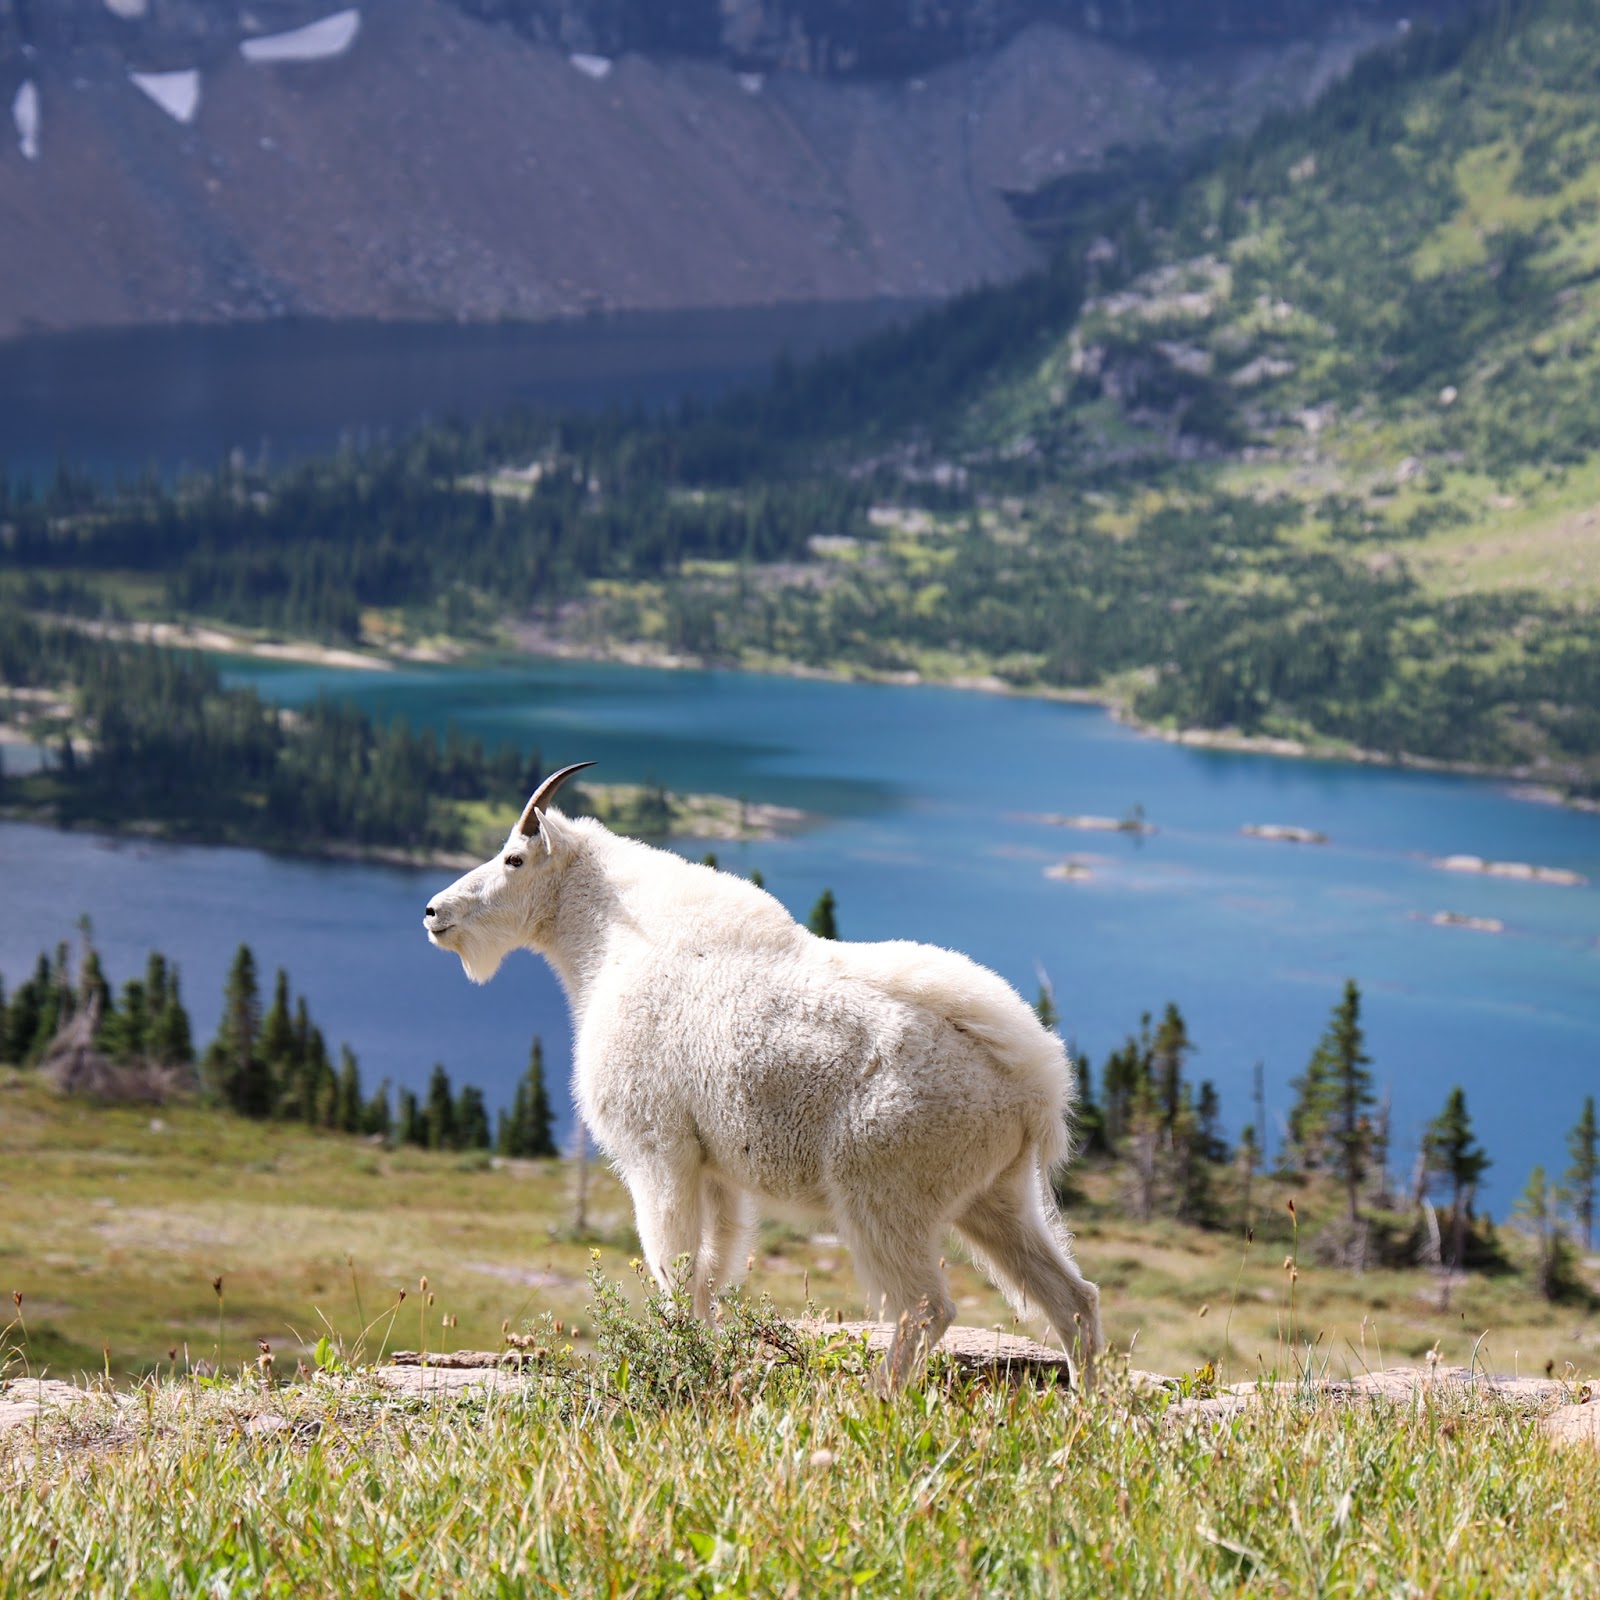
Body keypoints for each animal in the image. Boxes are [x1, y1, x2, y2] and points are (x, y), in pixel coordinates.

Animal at [423, 763, 1103, 1388]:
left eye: (513, 858)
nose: (434, 912)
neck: (611, 940)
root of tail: (1034, 1087)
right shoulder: (714, 1167)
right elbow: (710, 1271)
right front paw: (703, 1360)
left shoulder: (657, 1149)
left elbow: (673, 1268)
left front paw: (677, 1364)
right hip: (997, 1195)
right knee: (1073, 1297)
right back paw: (1086, 1408)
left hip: (886, 1193)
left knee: (925, 1307)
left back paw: (877, 1397)